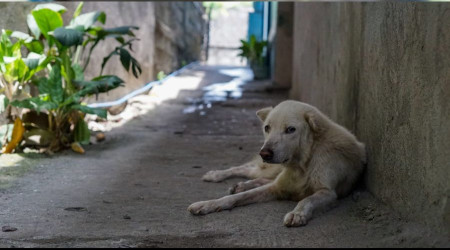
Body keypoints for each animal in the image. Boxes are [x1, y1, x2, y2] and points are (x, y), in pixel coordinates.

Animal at [186, 99, 366, 227]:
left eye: (291, 130)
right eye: (267, 128)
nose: (264, 153)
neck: (302, 165)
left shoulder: (328, 192)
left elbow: (307, 199)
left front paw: (297, 214)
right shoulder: (276, 187)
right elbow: (235, 197)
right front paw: (207, 204)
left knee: (257, 175)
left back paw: (241, 184)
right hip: (270, 168)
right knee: (245, 169)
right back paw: (216, 175)